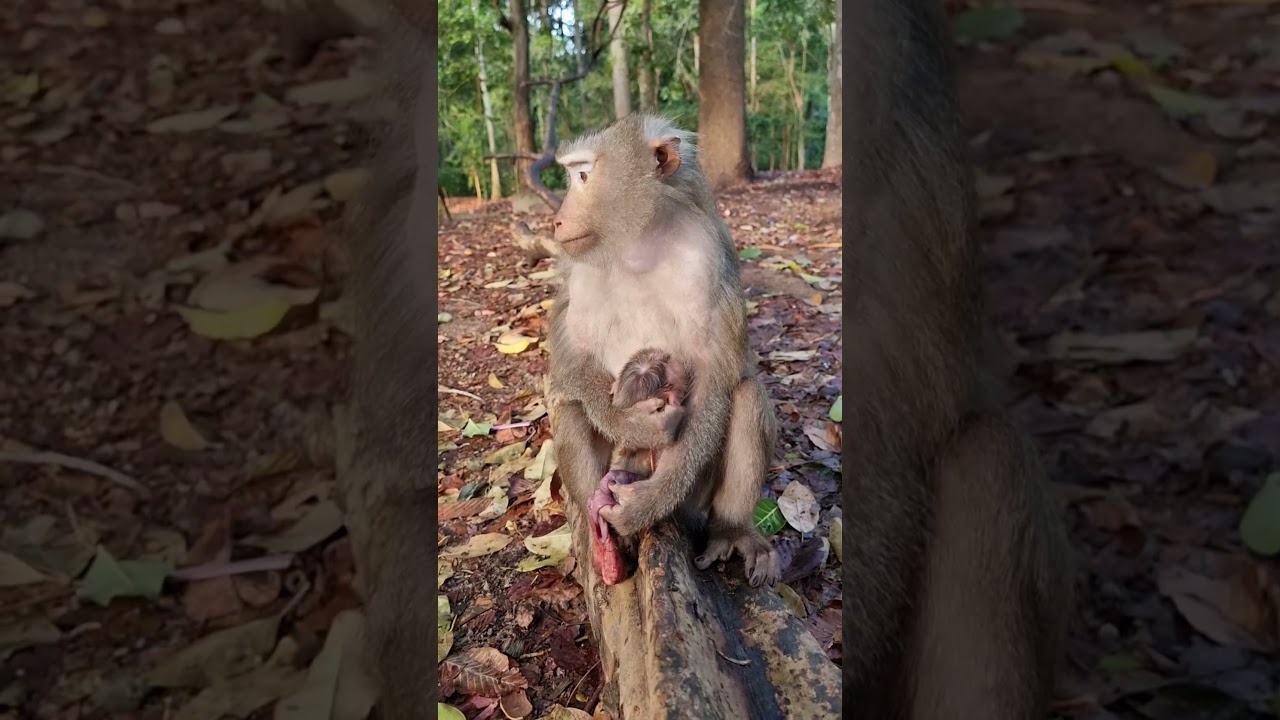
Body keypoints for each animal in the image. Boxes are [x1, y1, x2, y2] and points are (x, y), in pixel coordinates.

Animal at [544, 113, 782, 589]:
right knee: (572, 407)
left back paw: (731, 530)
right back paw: (604, 534)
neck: (638, 244)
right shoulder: (578, 268)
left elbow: (714, 375)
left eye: (583, 175)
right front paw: (634, 423)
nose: (558, 223)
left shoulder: (705, 258)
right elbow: (570, 358)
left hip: (697, 496)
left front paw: (649, 503)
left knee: (747, 395)